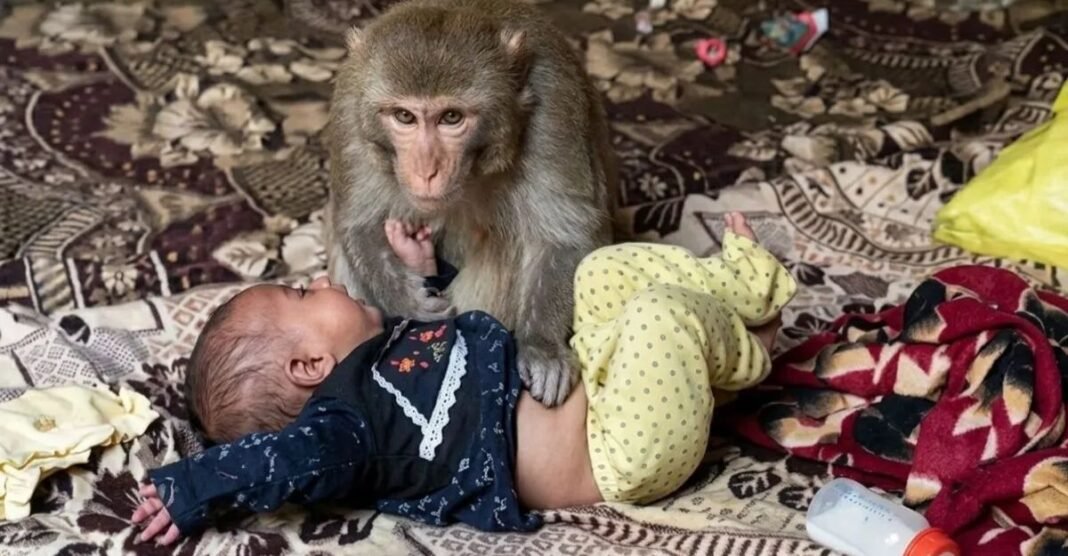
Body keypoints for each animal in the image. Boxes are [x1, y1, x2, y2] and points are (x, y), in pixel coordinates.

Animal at [323, 0, 616, 407]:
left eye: (451, 117)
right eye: (404, 116)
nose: (427, 170)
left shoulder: (555, 103)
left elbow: (564, 233)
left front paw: (543, 348)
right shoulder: (350, 110)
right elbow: (357, 222)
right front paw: (409, 304)